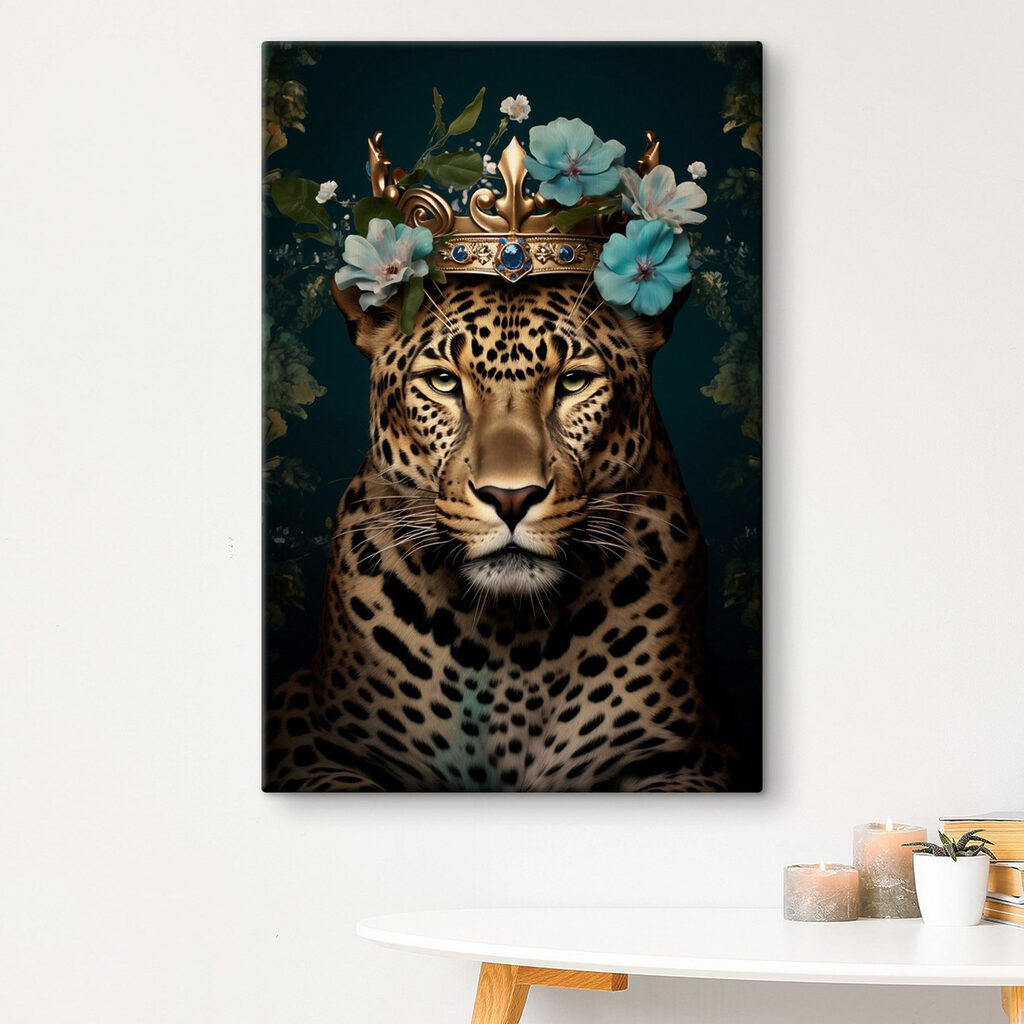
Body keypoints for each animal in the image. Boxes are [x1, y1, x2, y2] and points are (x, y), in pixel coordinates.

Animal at [263, 273, 739, 791]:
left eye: (573, 381)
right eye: (443, 382)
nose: (511, 498)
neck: (512, 639)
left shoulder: (689, 756)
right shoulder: (310, 737)